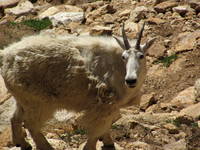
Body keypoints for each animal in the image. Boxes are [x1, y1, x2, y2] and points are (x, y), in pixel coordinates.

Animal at [0, 22, 155, 150]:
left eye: (142, 56)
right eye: (124, 57)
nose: (131, 80)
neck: (118, 68)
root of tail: (6, 56)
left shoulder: (110, 106)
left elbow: (106, 126)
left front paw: (109, 143)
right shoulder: (104, 104)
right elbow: (98, 129)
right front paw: (92, 146)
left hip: (23, 98)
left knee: (15, 118)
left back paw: (23, 143)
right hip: (39, 101)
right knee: (31, 124)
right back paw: (46, 147)